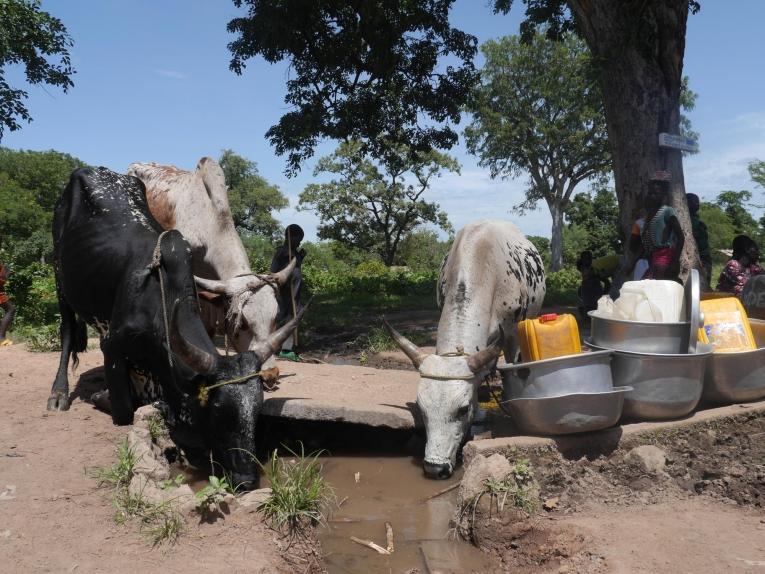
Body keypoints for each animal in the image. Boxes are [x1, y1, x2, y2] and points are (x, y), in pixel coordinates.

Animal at [46, 168, 302, 490]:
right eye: (217, 410)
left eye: (256, 412)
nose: (247, 480)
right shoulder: (112, 348)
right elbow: (125, 410)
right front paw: (101, 397)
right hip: (60, 277)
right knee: (67, 331)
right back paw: (58, 394)